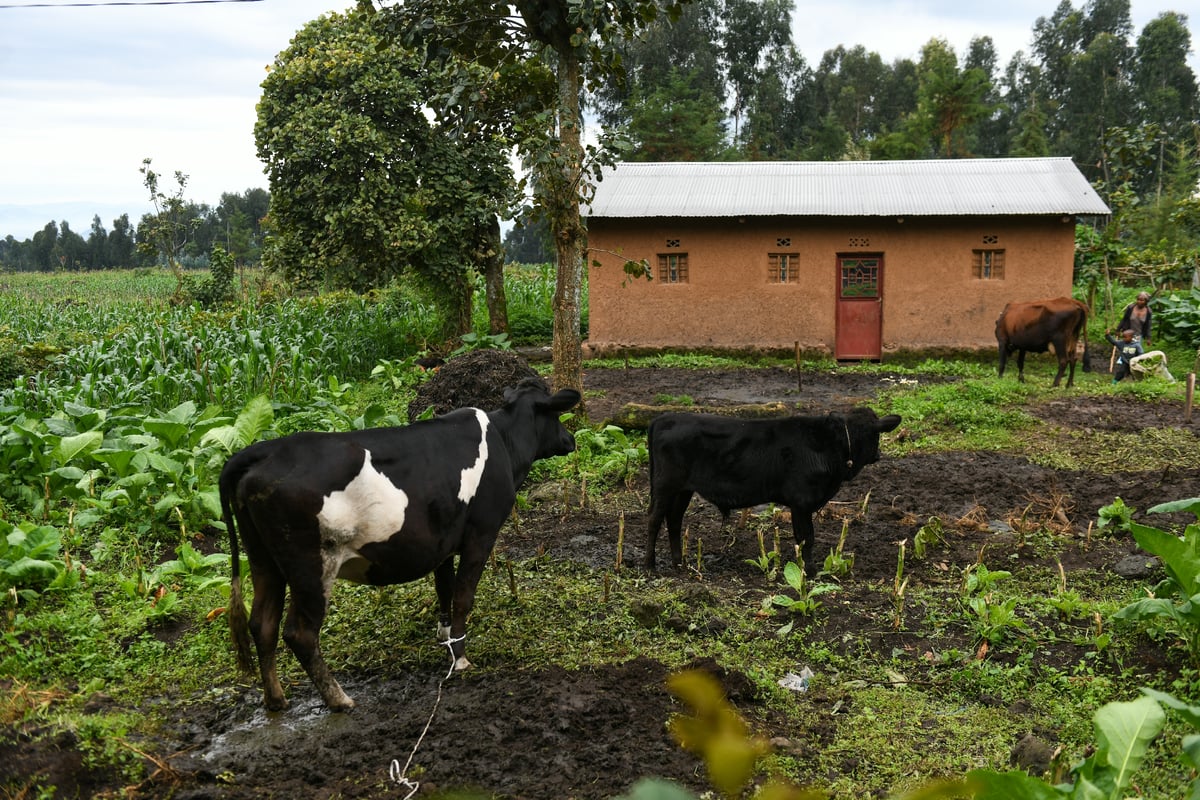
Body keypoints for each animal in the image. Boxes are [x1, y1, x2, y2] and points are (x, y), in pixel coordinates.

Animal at [225, 379, 585, 710]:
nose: (571, 440)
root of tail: (265, 450)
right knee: (299, 633)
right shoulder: (481, 535)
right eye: (556, 415)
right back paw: (339, 699)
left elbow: (444, 588)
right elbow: (463, 597)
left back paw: (276, 699)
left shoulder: (443, 541)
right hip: (312, 566)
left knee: (262, 624)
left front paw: (445, 636)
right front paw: (460, 657)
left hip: (263, 560)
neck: (504, 444)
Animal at [648, 407, 902, 575]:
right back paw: (650, 565)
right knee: (654, 519)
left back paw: (678, 563)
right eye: (876, 435)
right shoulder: (801, 502)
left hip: (683, 490)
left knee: (674, 520)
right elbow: (807, 538)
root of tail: (664, 417)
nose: (878, 455)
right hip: (665, 486)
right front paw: (809, 571)